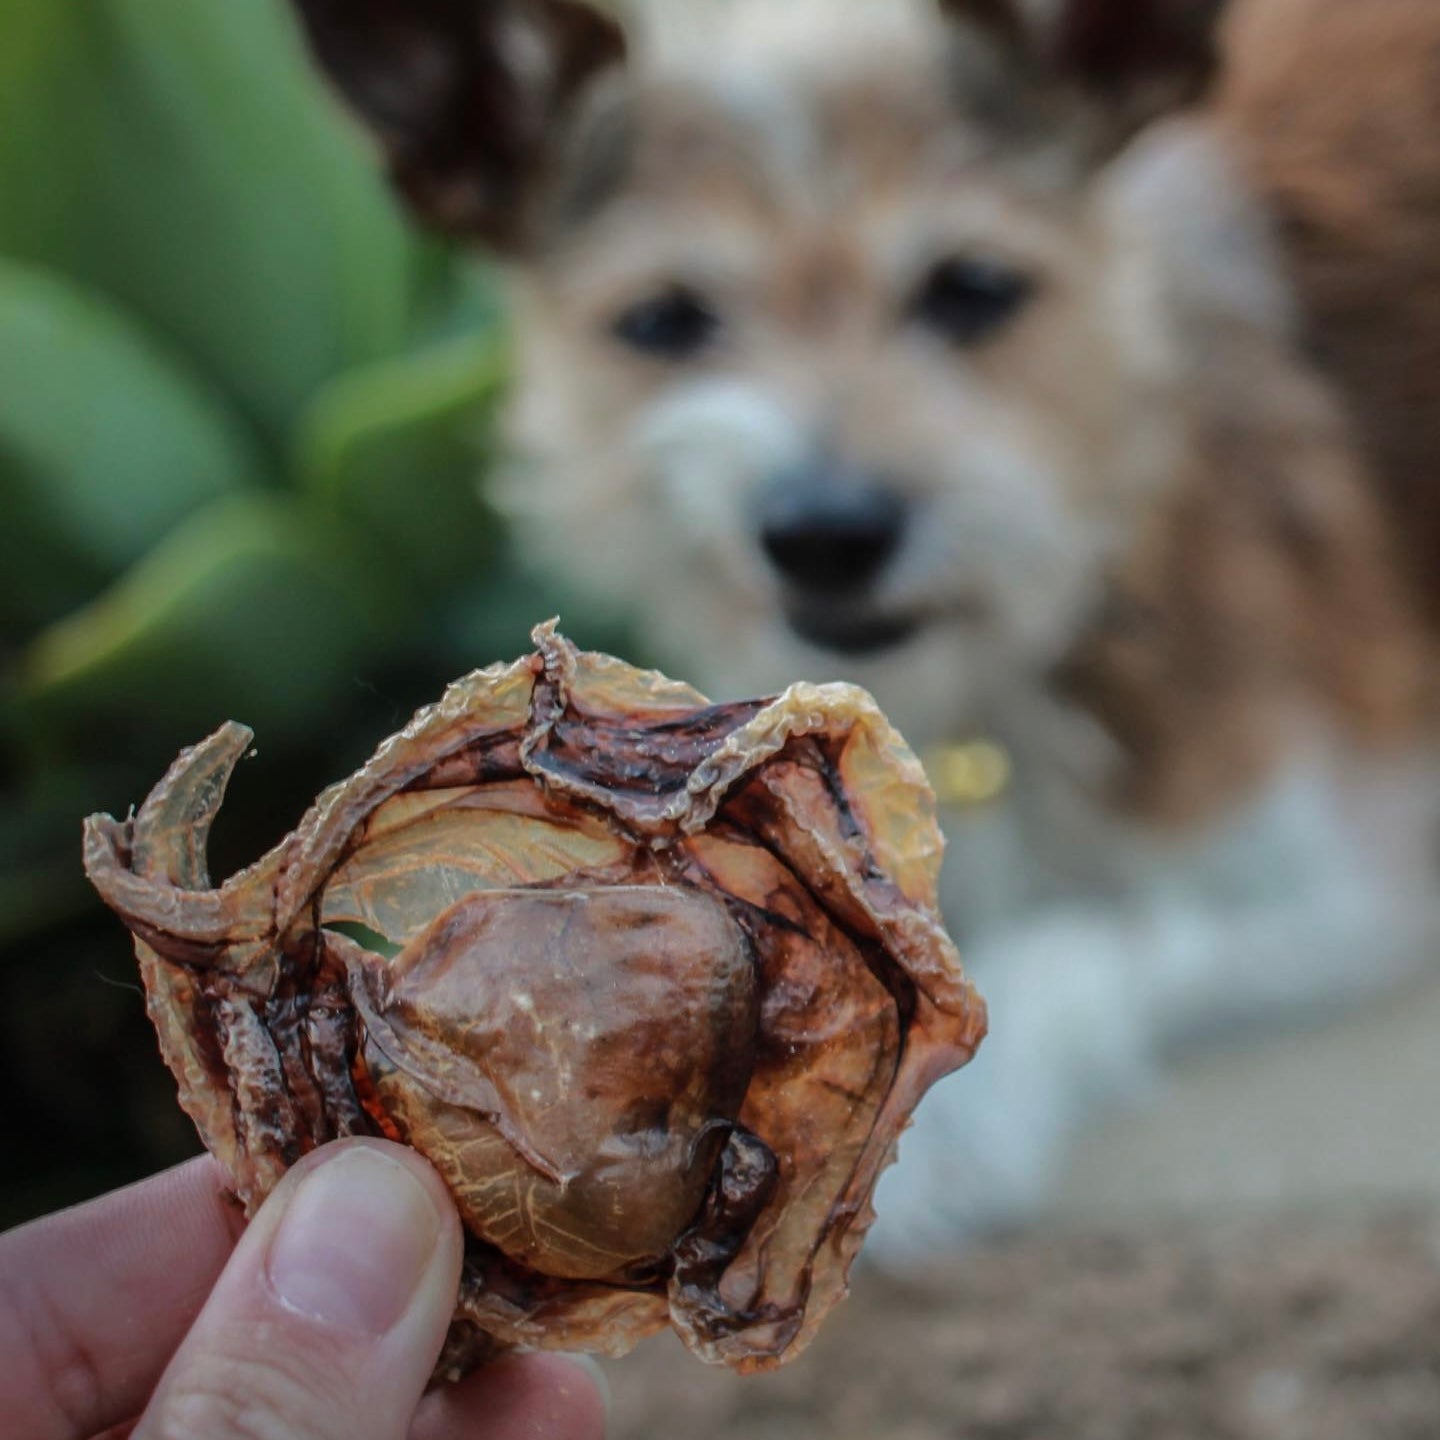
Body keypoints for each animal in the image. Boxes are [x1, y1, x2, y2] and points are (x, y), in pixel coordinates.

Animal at [289, 0, 1440, 1255]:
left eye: (974, 287)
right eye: (663, 319)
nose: (828, 532)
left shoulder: (1354, 884)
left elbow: (1082, 943)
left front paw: (953, 1124)